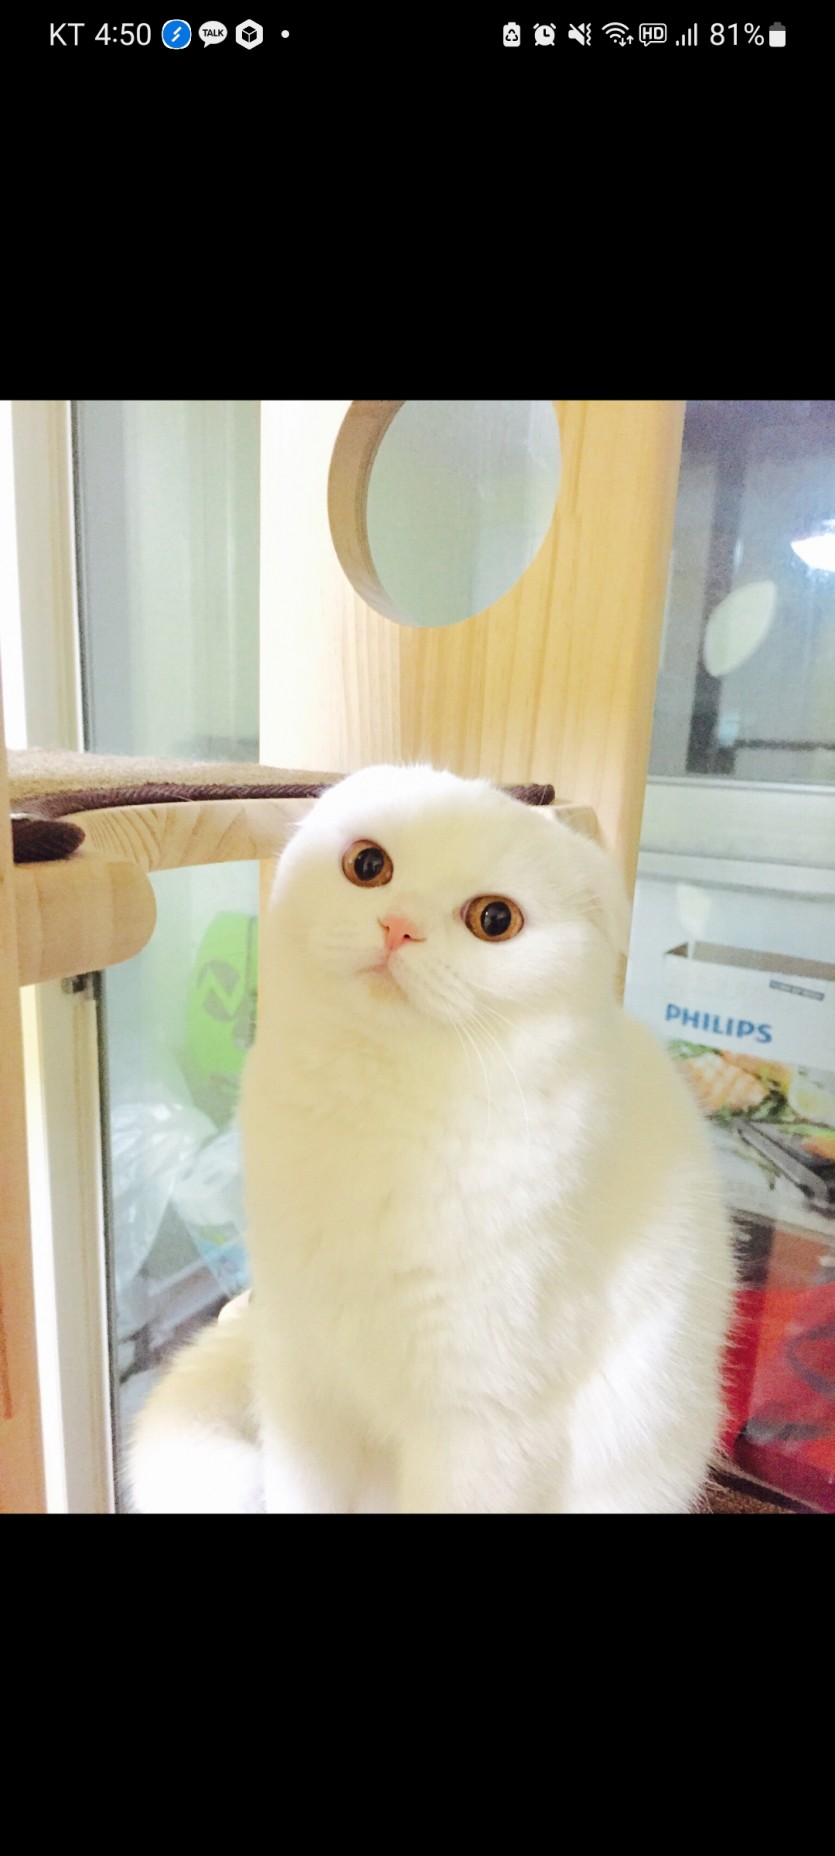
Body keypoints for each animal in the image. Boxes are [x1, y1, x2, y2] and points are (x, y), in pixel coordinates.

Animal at [130, 763, 736, 1515]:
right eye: (368, 865)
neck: (376, 1107)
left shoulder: (477, 1424)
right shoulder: (301, 1378)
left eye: (494, 919)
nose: (399, 926)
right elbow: (302, 1494)